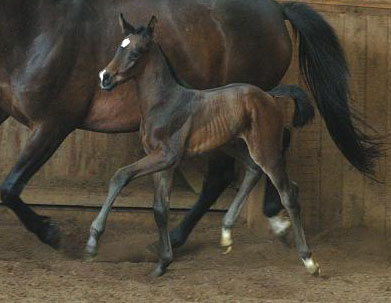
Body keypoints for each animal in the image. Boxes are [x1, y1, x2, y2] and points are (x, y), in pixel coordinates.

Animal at [0, 0, 380, 249]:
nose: (105, 78)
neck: (37, 28)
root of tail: (276, 10)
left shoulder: (53, 124)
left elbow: (10, 186)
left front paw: (50, 233)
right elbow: (8, 187)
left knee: (234, 168)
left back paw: (183, 235)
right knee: (273, 145)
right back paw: (272, 218)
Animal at [87, 16, 320, 278]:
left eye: (137, 52)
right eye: (119, 47)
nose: (105, 78)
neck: (164, 101)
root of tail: (269, 95)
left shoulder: (166, 156)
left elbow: (121, 175)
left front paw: (93, 242)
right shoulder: (160, 160)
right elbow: (160, 209)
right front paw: (162, 263)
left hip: (264, 147)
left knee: (288, 191)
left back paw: (308, 260)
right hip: (234, 145)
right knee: (253, 171)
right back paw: (226, 233)